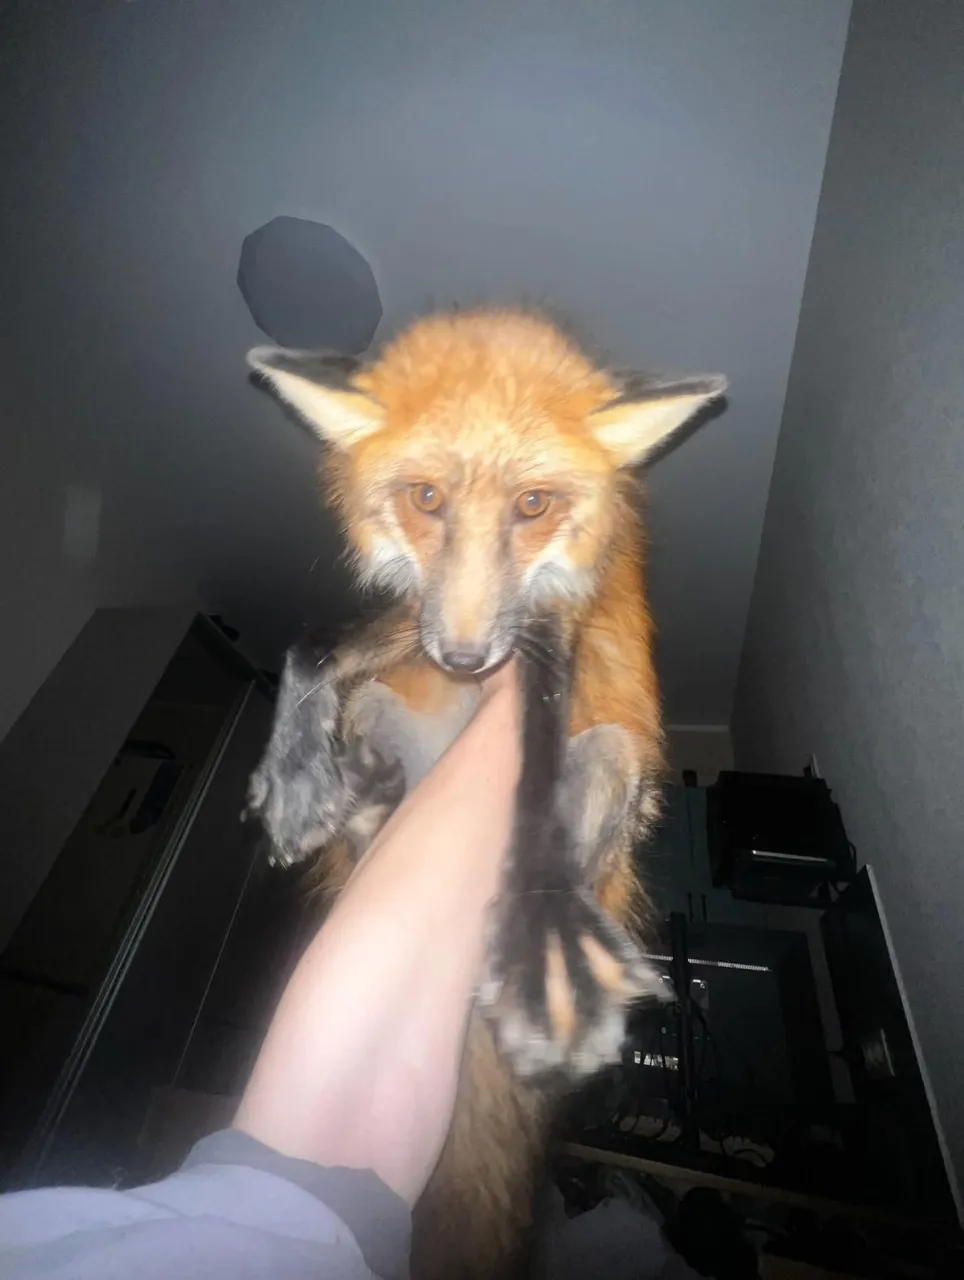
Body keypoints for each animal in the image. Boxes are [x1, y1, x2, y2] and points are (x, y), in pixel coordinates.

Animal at [245, 307, 726, 1279]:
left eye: (533, 506)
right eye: (425, 498)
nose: (466, 660)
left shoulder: (550, 636)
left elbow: (534, 768)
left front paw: (547, 936)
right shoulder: (416, 625)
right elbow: (316, 644)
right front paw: (292, 769)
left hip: (614, 758)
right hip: (386, 709)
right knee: (368, 799)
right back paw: (362, 792)